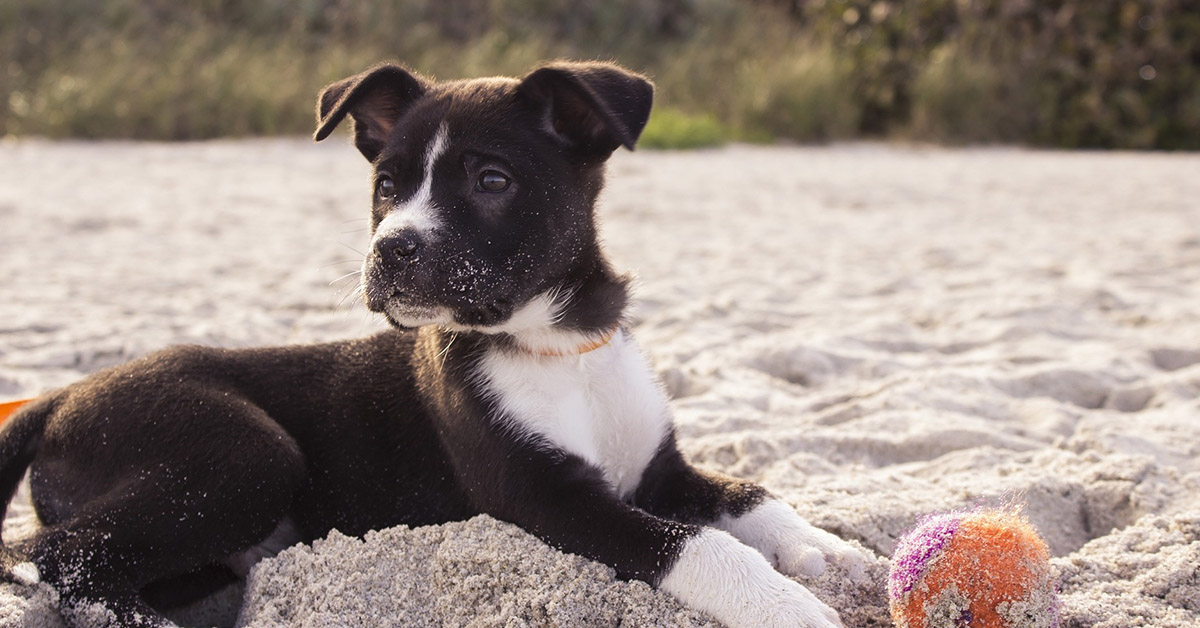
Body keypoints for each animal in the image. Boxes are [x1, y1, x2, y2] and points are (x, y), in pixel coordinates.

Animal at [0, 60, 864, 628]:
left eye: (491, 181)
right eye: (385, 185)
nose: (391, 249)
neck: (554, 345)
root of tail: (61, 395)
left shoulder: (659, 469)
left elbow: (747, 494)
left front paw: (824, 549)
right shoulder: (545, 497)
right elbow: (695, 546)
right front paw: (785, 605)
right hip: (245, 454)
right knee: (51, 557)